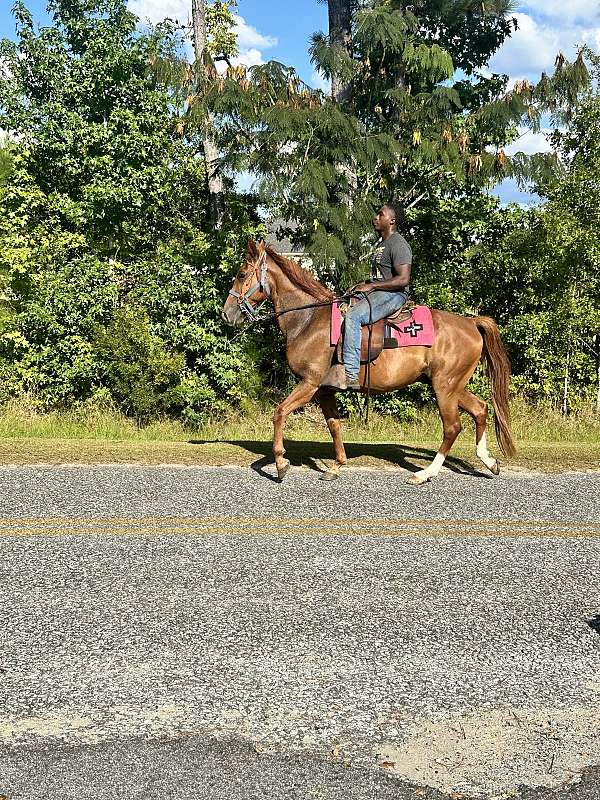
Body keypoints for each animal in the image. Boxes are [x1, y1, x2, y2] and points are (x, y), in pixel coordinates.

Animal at [221, 241, 516, 484]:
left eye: (241, 275)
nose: (227, 313)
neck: (308, 320)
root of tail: (471, 322)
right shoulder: (325, 390)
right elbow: (334, 425)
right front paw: (336, 466)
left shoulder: (310, 383)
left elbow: (280, 412)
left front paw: (281, 462)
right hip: (452, 385)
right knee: (480, 409)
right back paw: (489, 461)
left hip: (445, 387)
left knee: (452, 427)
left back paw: (424, 474)